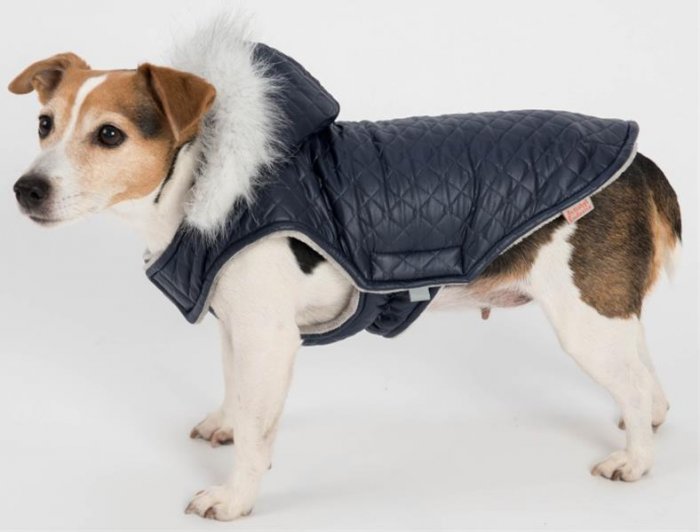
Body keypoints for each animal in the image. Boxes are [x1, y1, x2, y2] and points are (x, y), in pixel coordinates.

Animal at [8, 19, 681, 521]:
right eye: (44, 124)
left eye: (110, 136)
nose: (26, 189)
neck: (207, 181)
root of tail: (639, 160)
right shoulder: (237, 327)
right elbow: (236, 394)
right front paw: (226, 424)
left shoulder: (269, 338)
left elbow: (257, 428)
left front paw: (235, 496)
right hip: (611, 315)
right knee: (648, 380)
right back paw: (641, 425)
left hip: (585, 321)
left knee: (634, 383)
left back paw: (635, 460)